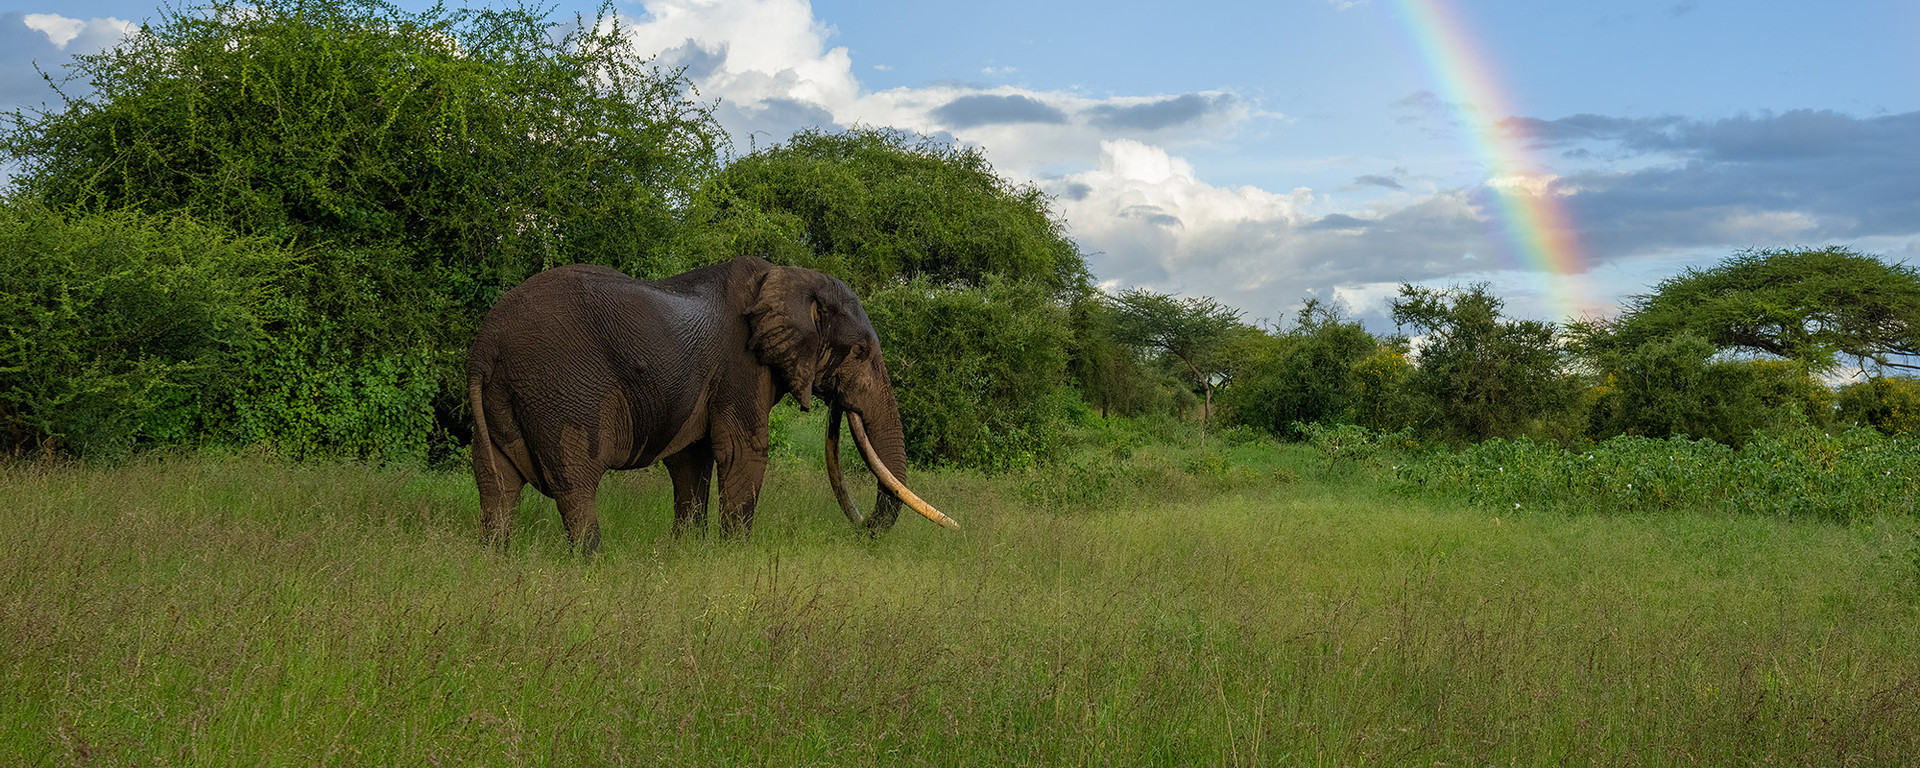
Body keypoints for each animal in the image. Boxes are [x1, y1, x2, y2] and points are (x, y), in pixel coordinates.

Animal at [466, 256, 957, 552]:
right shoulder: (741, 366)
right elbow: (744, 452)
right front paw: (734, 554)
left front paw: (688, 551)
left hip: (501, 401)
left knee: (496, 483)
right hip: (561, 391)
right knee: (574, 481)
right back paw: (593, 561)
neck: (788, 278)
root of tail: (486, 343)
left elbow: (691, 461)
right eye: (857, 352)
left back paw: (497, 558)